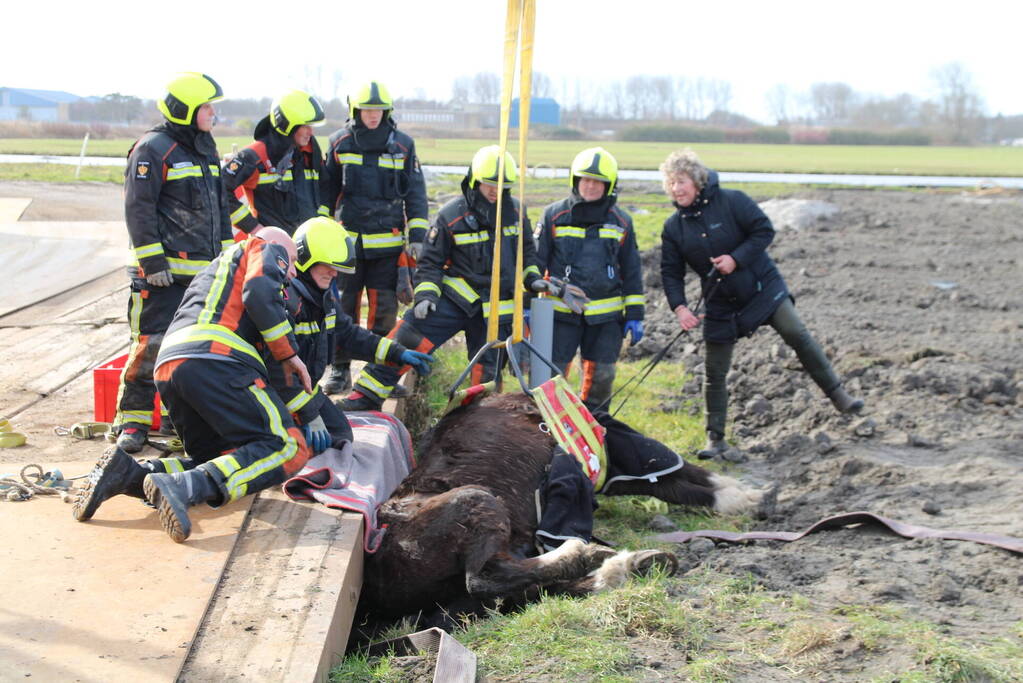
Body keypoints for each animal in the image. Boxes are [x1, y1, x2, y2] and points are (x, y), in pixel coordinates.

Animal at [356, 392, 765, 621]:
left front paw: (744, 496)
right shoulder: (616, 459)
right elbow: (674, 478)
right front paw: (748, 496)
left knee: (524, 589)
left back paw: (629, 565)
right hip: (477, 500)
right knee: (488, 578)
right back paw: (585, 554)